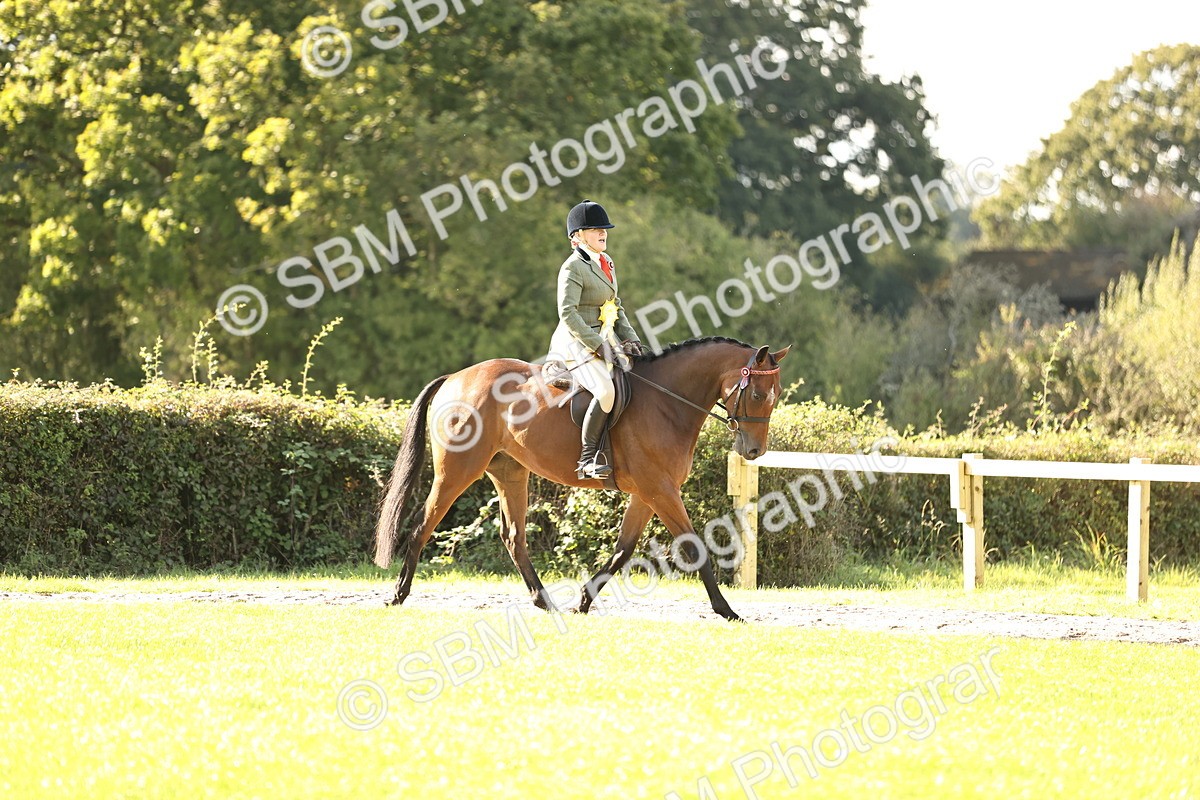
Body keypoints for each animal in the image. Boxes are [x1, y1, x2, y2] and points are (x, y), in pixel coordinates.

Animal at [374, 337, 790, 621]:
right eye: (756, 394)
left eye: (777, 395)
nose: (754, 451)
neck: (668, 403)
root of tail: (455, 378)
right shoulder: (660, 490)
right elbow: (694, 547)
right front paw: (726, 609)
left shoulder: (649, 493)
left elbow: (623, 551)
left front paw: (583, 601)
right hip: (457, 471)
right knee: (422, 526)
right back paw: (398, 594)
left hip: (510, 472)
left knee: (513, 536)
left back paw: (545, 602)